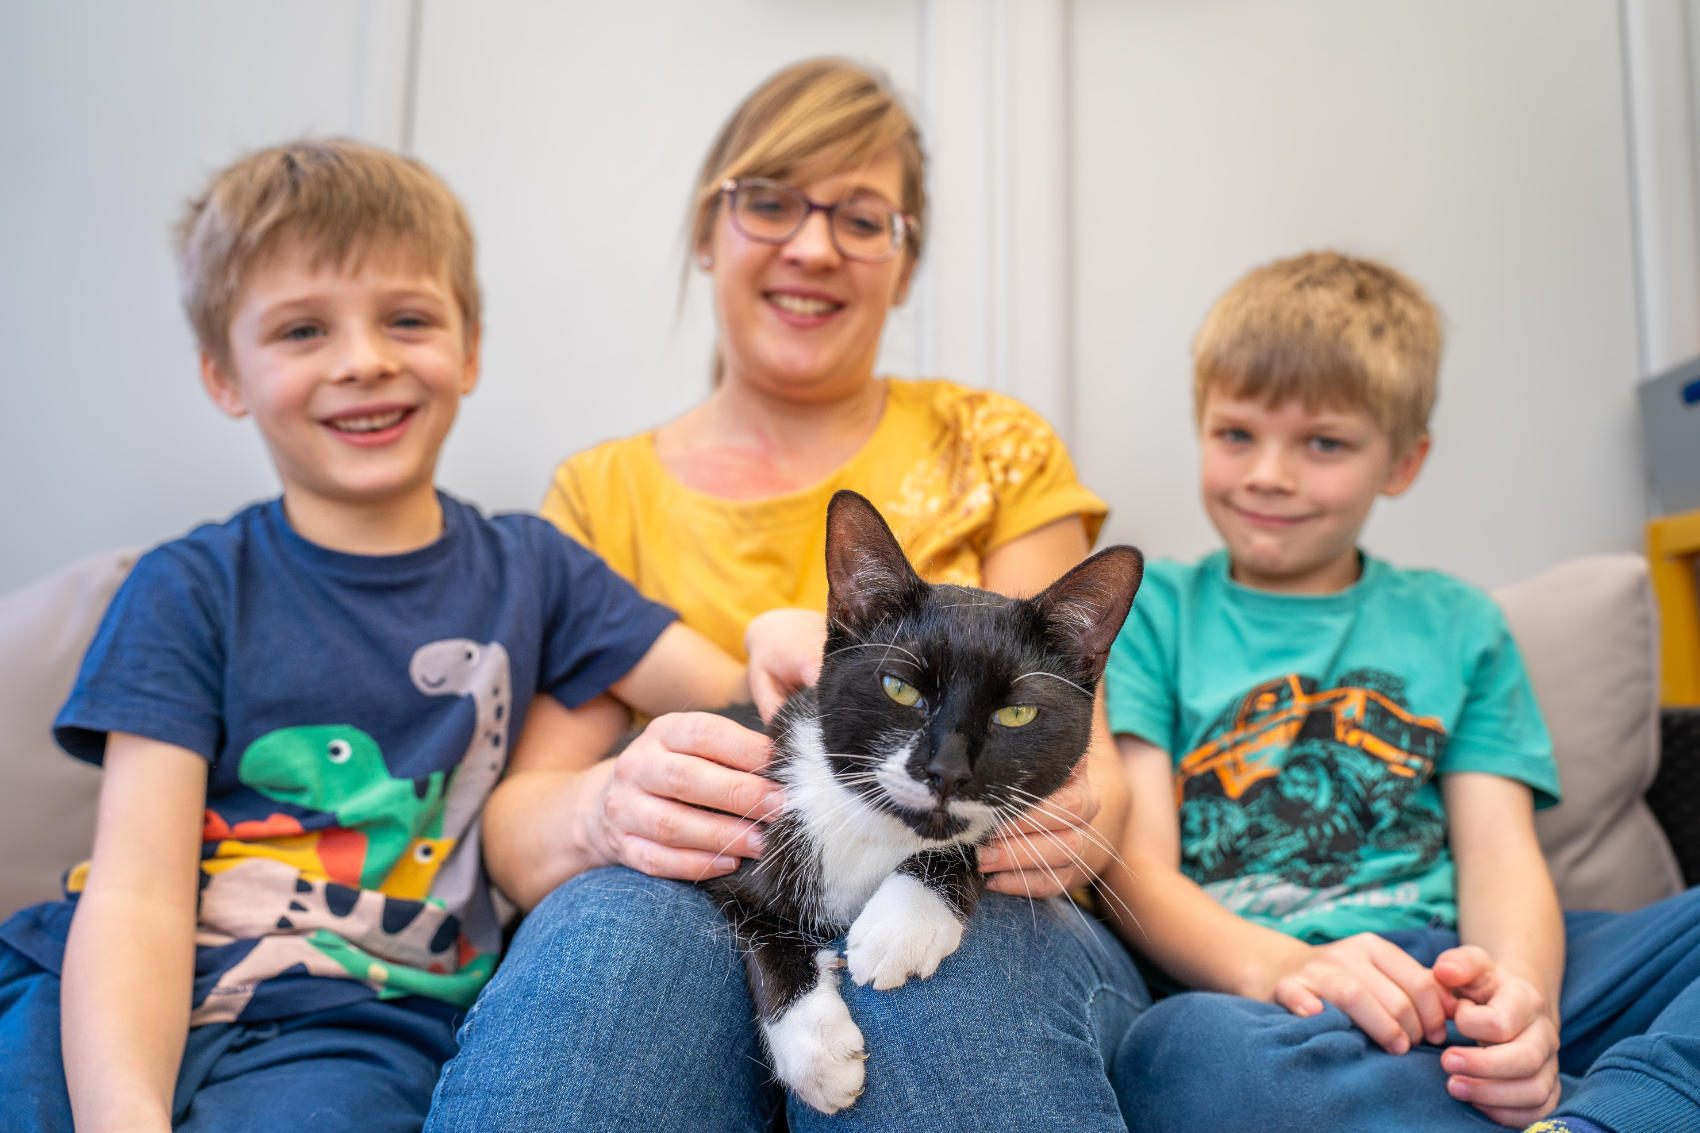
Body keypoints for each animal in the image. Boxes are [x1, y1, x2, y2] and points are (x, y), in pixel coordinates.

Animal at [703, 489, 1142, 1109]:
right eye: (900, 688)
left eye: (1017, 713)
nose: (947, 772)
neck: (875, 831)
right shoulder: (744, 839)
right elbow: (764, 933)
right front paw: (816, 1051)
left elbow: (968, 840)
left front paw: (904, 921)